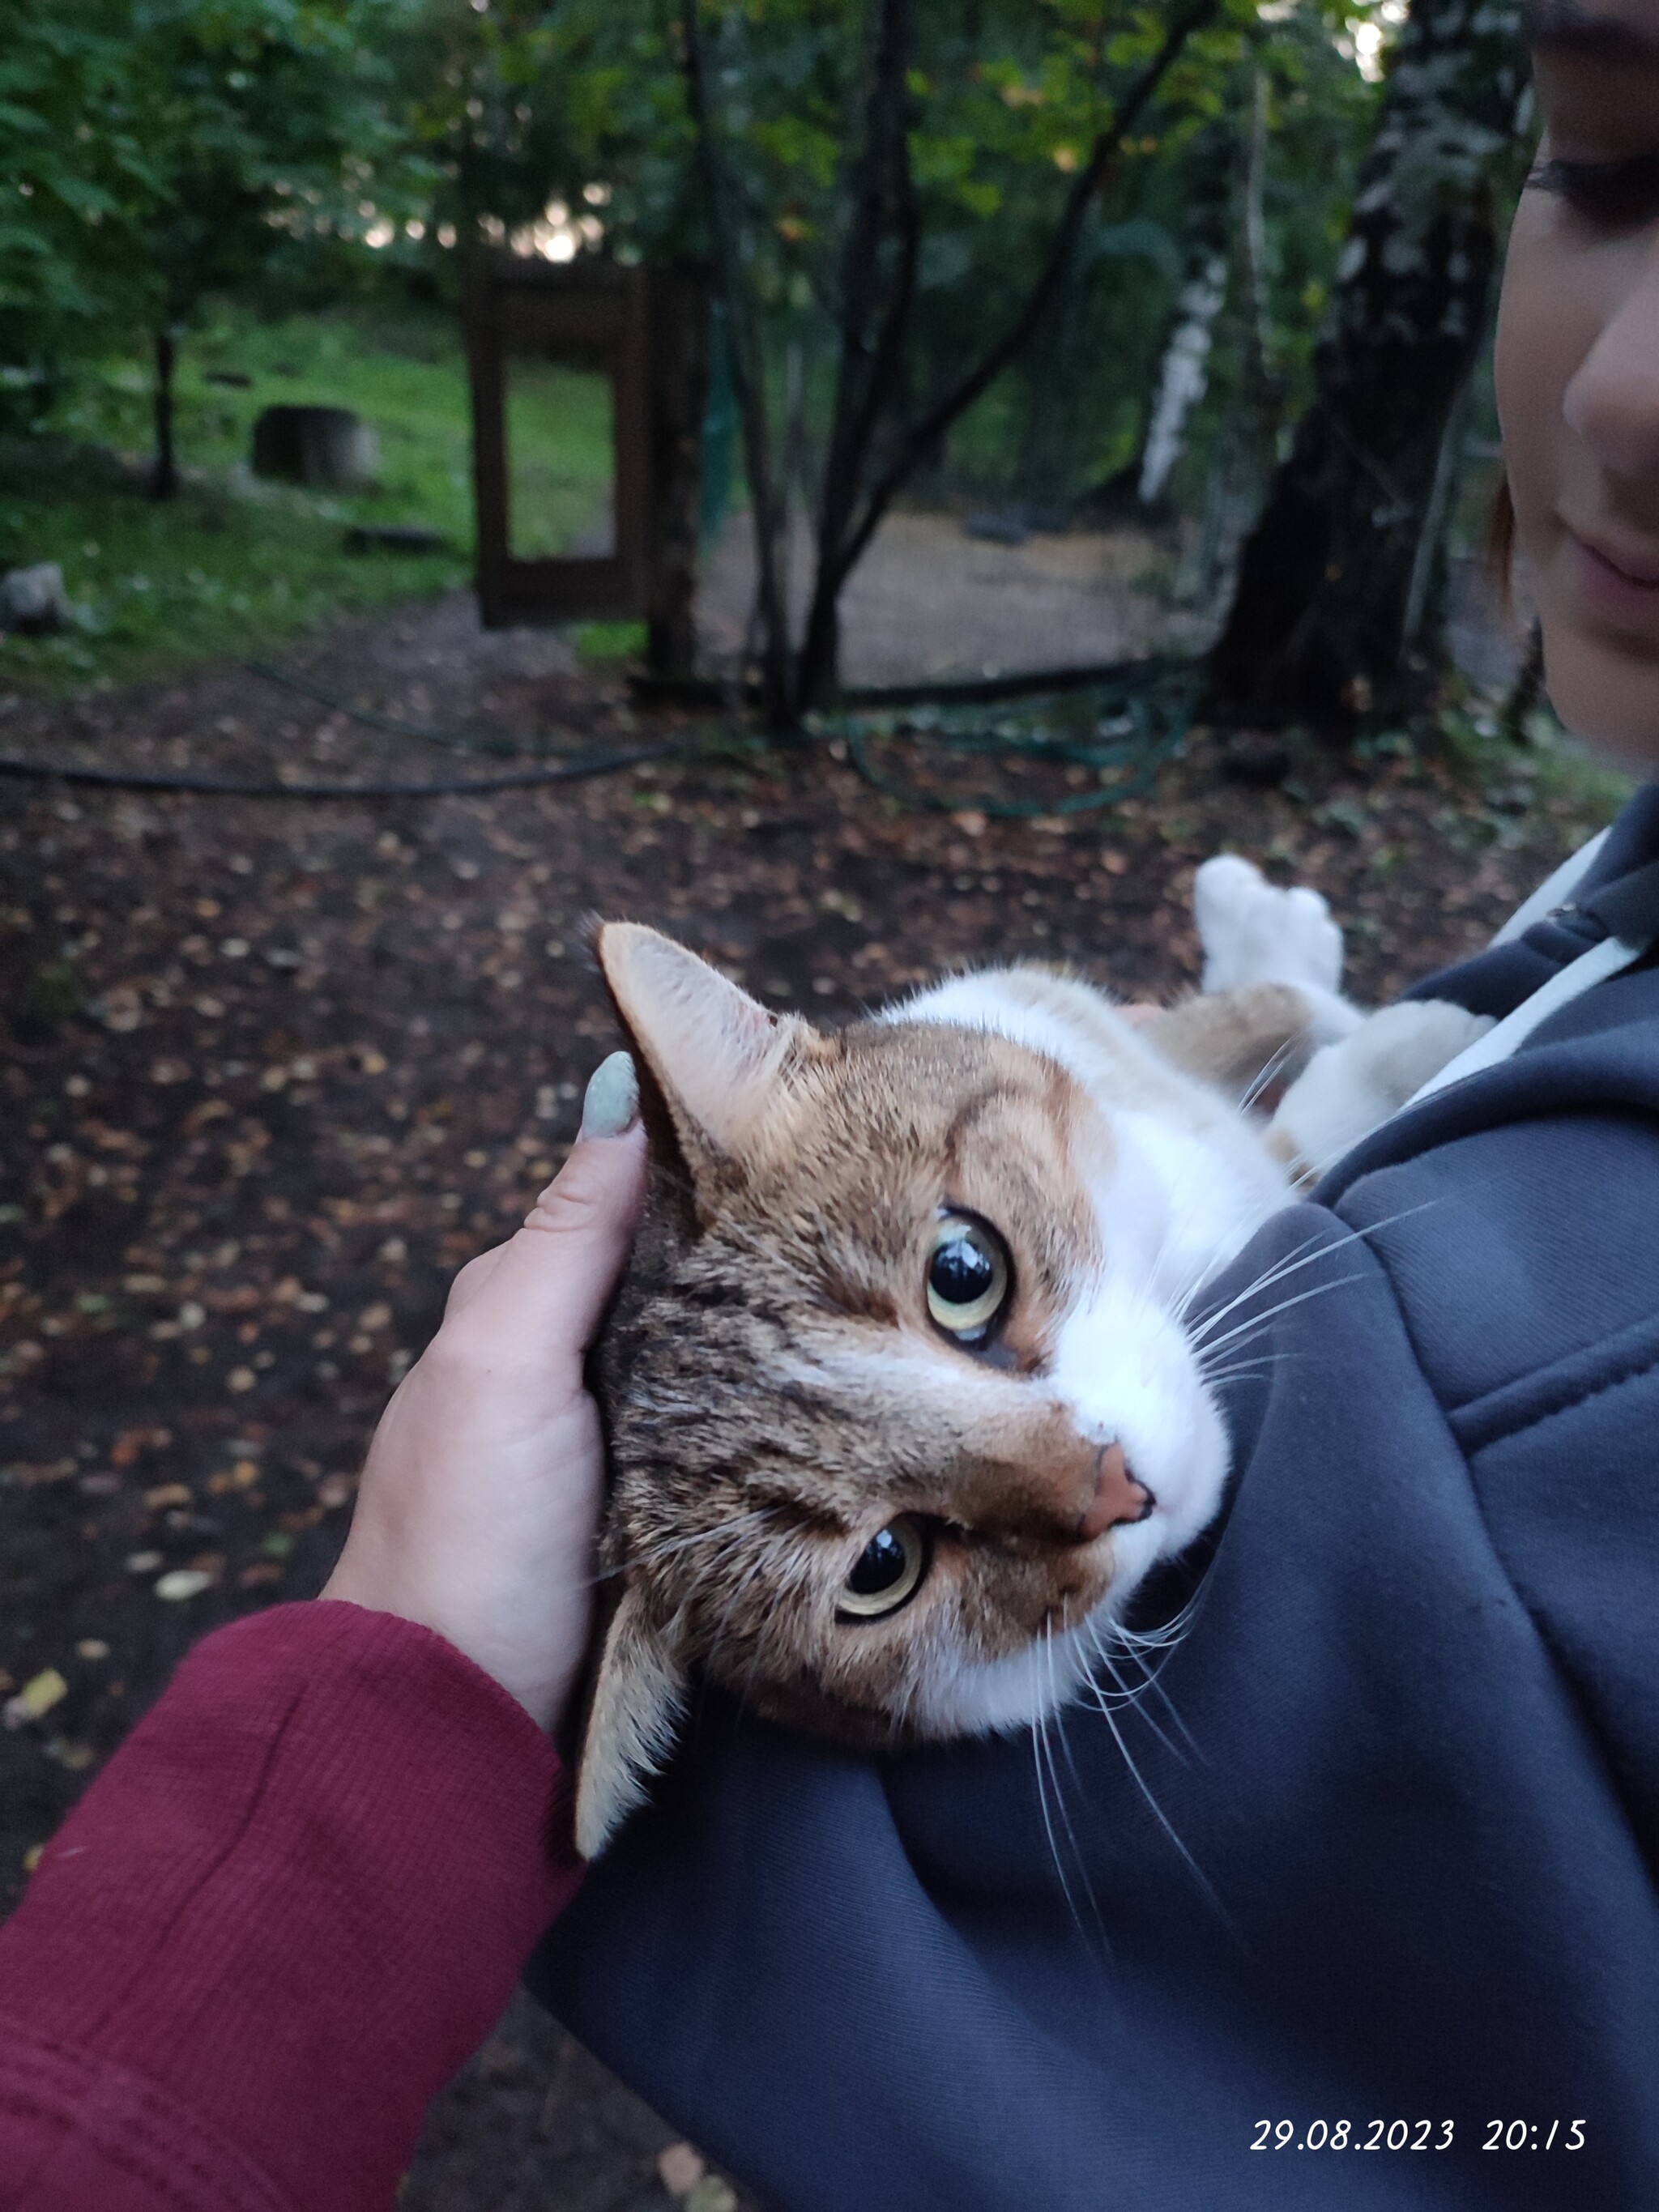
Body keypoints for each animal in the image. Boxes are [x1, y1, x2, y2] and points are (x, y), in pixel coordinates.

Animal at [579, 854, 1486, 1858]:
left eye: (961, 1272)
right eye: (882, 1566)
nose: (1118, 1485)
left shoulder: (1077, 1025)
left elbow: (1270, 1008)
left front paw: (1319, 978)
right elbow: (1295, 1138)